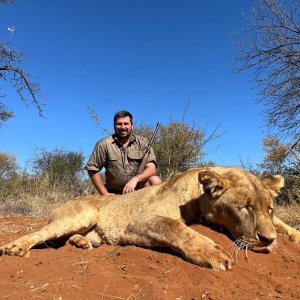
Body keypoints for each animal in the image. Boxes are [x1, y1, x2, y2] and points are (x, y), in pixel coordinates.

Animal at [0, 166, 298, 272]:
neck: (197, 196)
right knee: (41, 233)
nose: (268, 240)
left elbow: (285, 226)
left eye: (270, 209)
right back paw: (15, 247)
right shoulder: (138, 222)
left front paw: (291, 235)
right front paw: (213, 252)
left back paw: (81, 243)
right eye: (245, 208)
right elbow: (174, 226)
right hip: (84, 213)